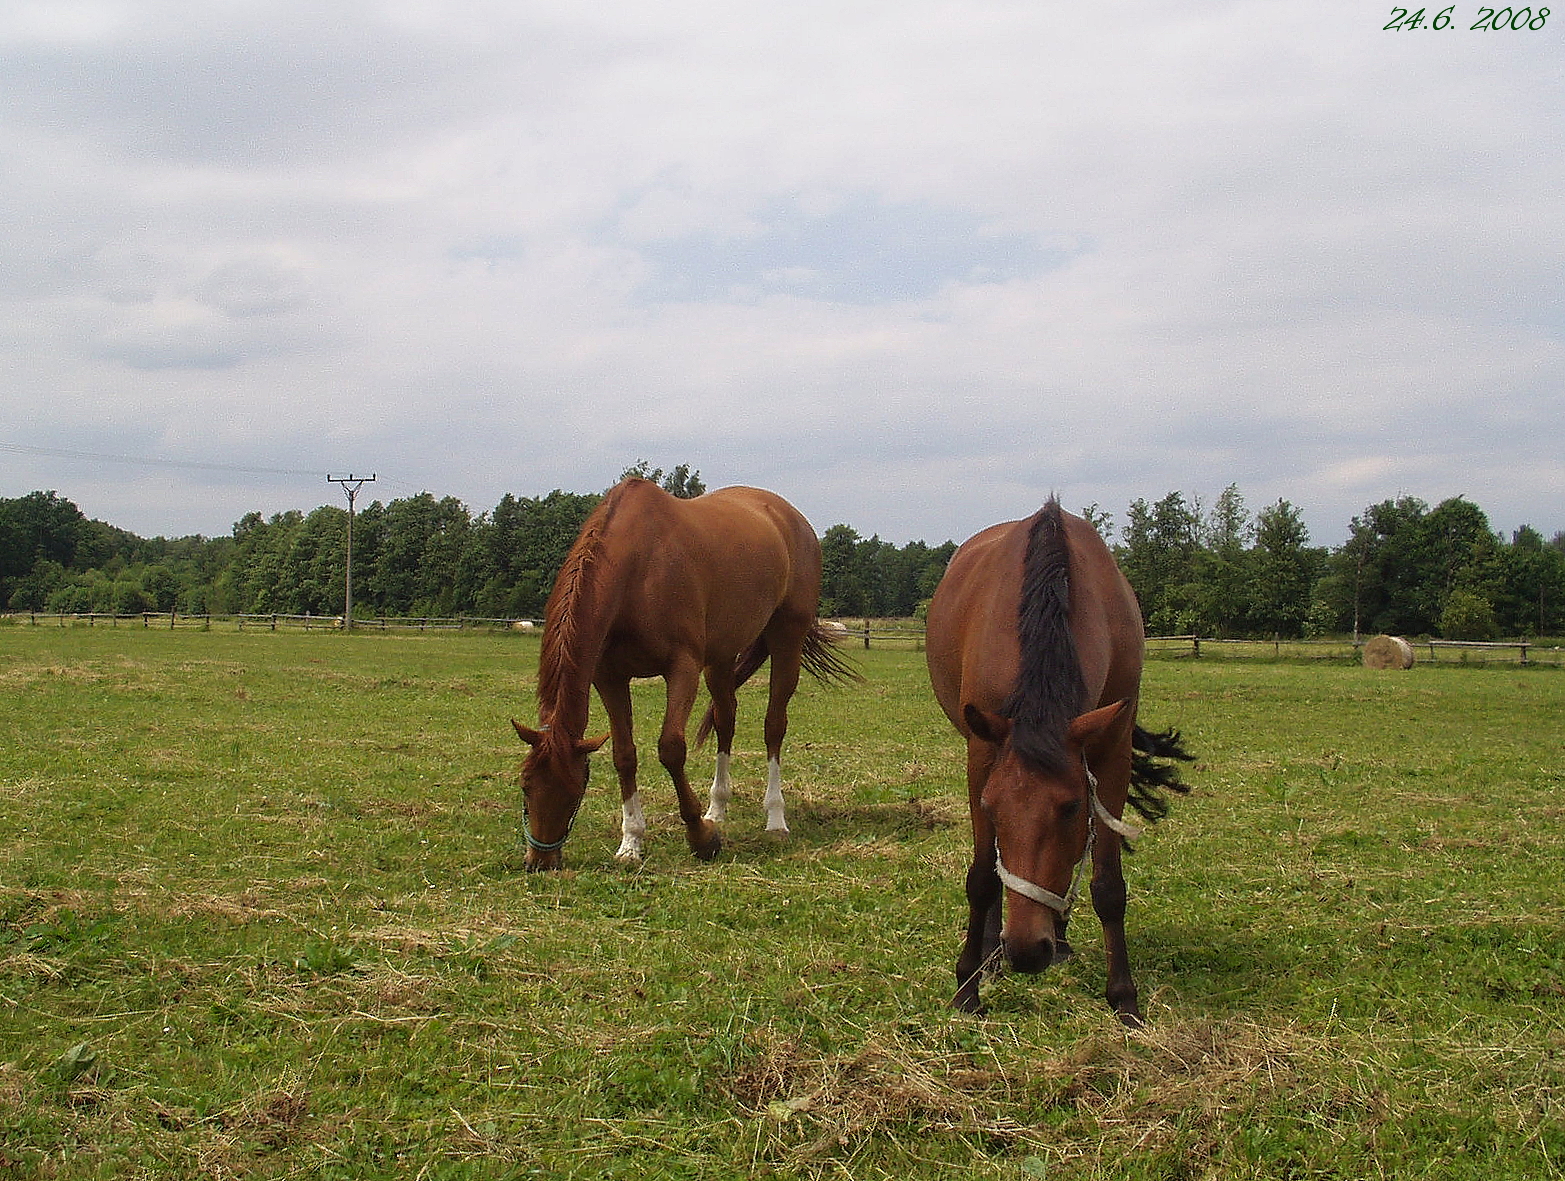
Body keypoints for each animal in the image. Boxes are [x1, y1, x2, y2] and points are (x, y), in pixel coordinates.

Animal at [513, 475, 857, 875]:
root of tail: (793, 518)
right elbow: (624, 755)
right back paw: (717, 808)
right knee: (725, 720)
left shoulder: (683, 669)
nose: (540, 861)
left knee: (774, 726)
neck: (639, 566)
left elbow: (671, 749)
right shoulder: (610, 678)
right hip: (721, 658)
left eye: (573, 788)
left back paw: (775, 820)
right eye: (525, 785)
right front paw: (631, 843)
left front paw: (701, 838)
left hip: (786, 638)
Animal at [920, 497, 1189, 1026]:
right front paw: (967, 986)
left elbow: (1108, 886)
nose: (1027, 951)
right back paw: (992, 954)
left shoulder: (1110, 752)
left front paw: (1124, 997)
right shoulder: (982, 754)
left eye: (1071, 808)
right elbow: (984, 878)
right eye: (993, 807)